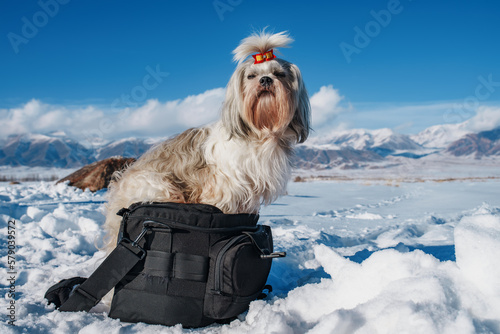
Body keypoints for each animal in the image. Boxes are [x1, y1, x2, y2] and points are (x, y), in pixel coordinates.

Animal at [103, 30, 310, 250]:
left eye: (279, 74)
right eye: (251, 76)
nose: (265, 80)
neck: (259, 133)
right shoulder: (225, 192)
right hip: (161, 188)